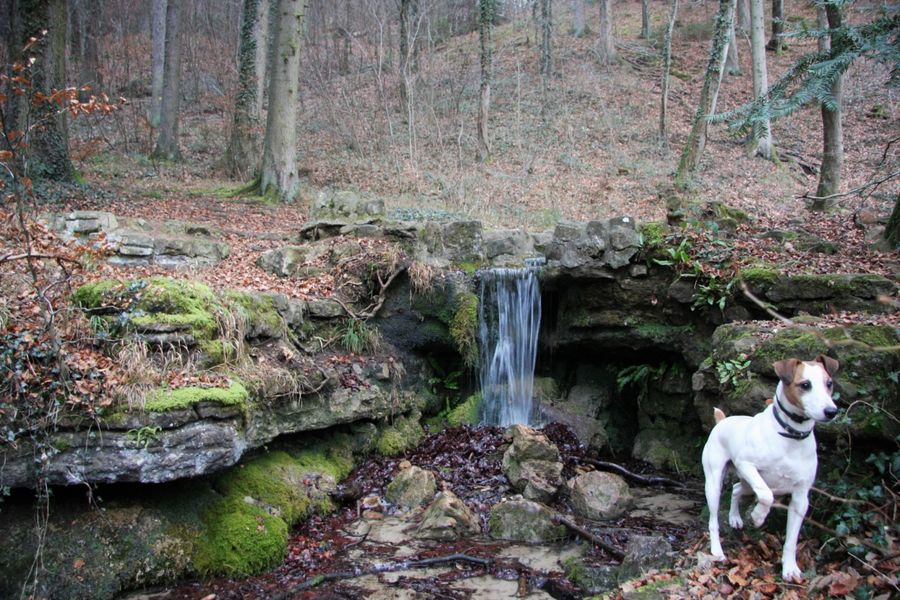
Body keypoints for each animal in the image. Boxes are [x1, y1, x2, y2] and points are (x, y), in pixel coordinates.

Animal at [702, 355, 839, 582]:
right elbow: (767, 495)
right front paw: (758, 516)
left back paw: (735, 518)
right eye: (805, 385)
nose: (831, 411)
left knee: (737, 489)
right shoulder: (746, 464)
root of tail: (723, 421)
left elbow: (791, 540)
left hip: (747, 483)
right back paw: (717, 550)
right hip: (715, 481)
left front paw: (790, 568)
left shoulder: (801, 497)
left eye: (829, 384)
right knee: (714, 518)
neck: (790, 435)